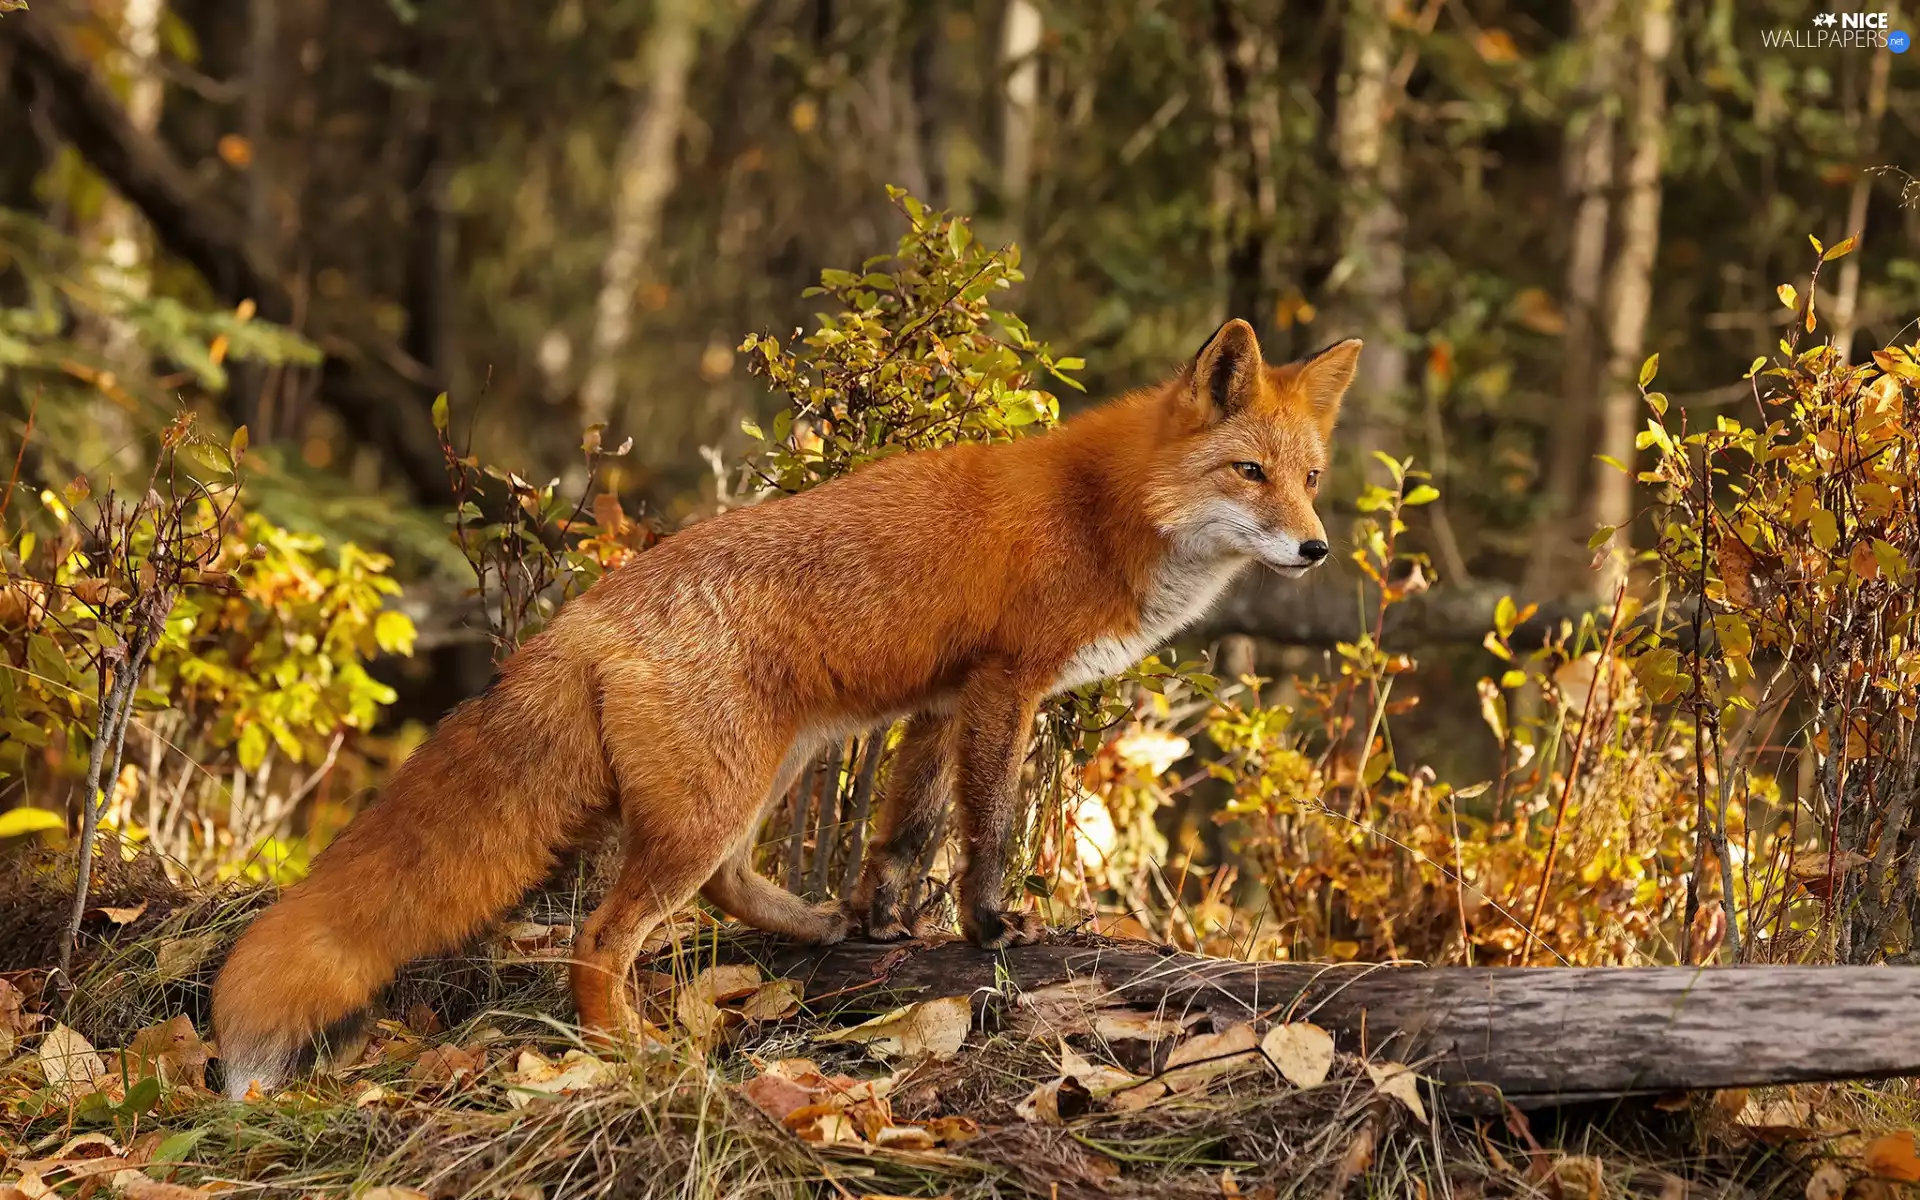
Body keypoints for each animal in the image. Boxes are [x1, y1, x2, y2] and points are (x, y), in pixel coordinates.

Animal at [210, 318, 1358, 1098]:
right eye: (1247, 471)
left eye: (1309, 479)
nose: (1315, 549)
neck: (1103, 510)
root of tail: (585, 617)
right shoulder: (1005, 685)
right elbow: (985, 829)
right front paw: (989, 926)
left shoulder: (942, 703)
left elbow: (904, 831)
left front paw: (888, 918)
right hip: (720, 798)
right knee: (603, 938)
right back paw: (629, 1052)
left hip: (763, 772)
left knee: (726, 887)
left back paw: (814, 929)